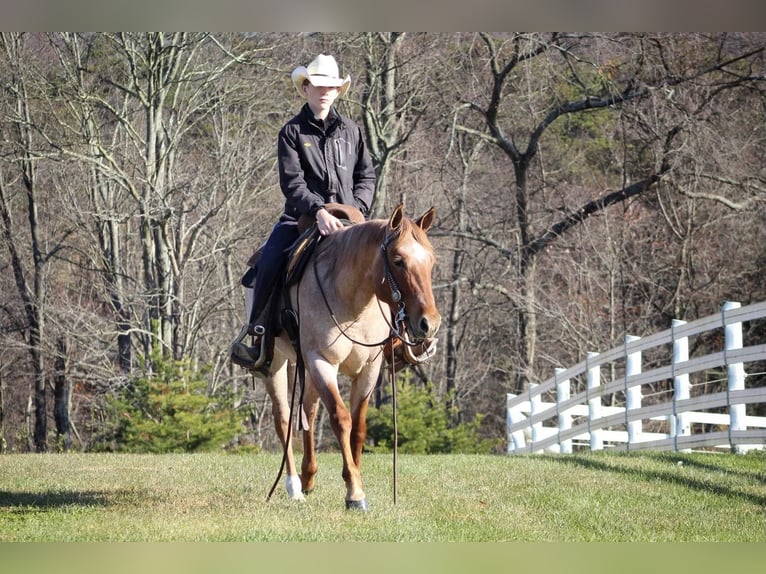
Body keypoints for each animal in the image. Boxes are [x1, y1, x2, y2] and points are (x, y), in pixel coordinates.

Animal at [260, 205, 438, 510]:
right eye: (398, 260)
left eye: (432, 261)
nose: (430, 323)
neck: (354, 302)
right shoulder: (321, 362)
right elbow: (341, 419)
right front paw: (354, 491)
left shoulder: (369, 370)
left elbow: (358, 428)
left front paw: (355, 477)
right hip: (277, 364)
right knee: (283, 418)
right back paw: (294, 486)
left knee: (308, 411)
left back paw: (308, 478)